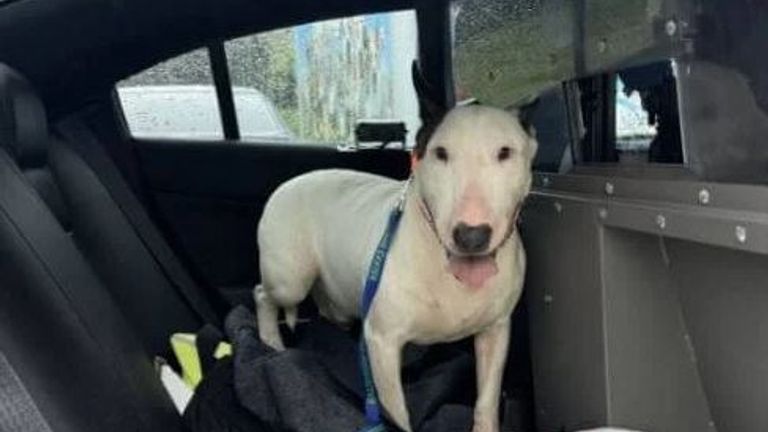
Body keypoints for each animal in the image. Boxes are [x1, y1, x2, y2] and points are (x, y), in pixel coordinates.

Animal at [255, 72, 536, 430]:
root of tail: (290, 182)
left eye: (505, 152)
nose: (471, 236)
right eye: (440, 153)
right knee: (264, 294)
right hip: (290, 278)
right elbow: (397, 412)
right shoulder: (382, 343)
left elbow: (486, 399)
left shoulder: (496, 331)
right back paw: (271, 343)